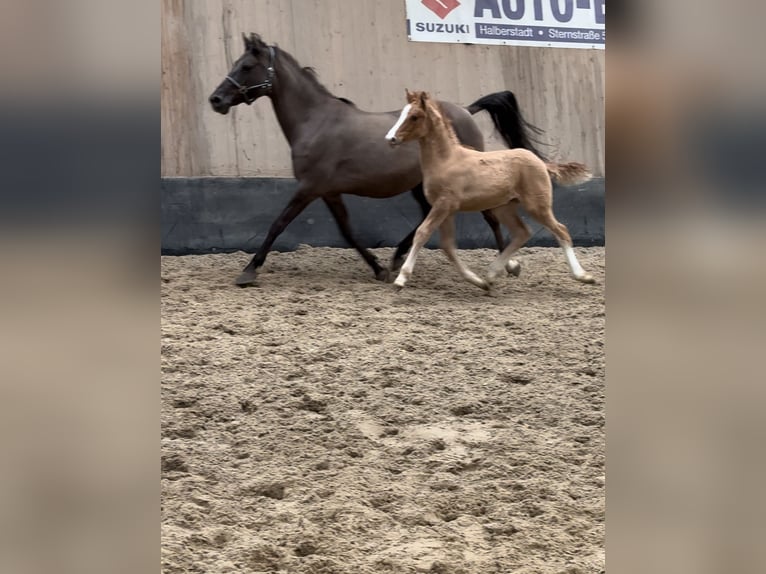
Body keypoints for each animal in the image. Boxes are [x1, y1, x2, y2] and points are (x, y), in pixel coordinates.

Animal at [210, 33, 544, 286]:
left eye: (246, 66)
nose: (216, 100)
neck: (315, 121)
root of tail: (466, 110)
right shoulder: (328, 192)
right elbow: (347, 231)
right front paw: (379, 268)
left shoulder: (309, 187)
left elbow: (279, 223)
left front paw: (249, 271)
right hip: (421, 184)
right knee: (428, 215)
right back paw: (397, 258)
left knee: (489, 216)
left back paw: (507, 265)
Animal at [388, 90, 596, 292]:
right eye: (402, 113)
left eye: (414, 116)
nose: (391, 139)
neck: (447, 161)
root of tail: (540, 162)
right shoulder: (446, 210)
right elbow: (447, 246)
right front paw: (478, 282)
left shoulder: (444, 204)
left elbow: (422, 233)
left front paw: (401, 279)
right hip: (504, 207)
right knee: (522, 232)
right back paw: (492, 274)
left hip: (537, 205)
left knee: (561, 230)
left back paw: (583, 276)